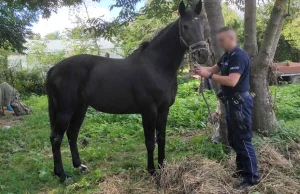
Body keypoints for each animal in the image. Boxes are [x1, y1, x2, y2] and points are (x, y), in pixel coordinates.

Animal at [46, 0, 209, 182]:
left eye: (202, 25)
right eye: (185, 26)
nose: (202, 54)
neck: (155, 66)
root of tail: (54, 69)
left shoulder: (164, 109)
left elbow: (161, 138)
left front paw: (162, 167)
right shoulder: (149, 110)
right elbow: (150, 141)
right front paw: (152, 171)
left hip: (80, 108)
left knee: (72, 134)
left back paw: (79, 166)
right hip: (65, 111)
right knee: (56, 138)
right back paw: (62, 174)